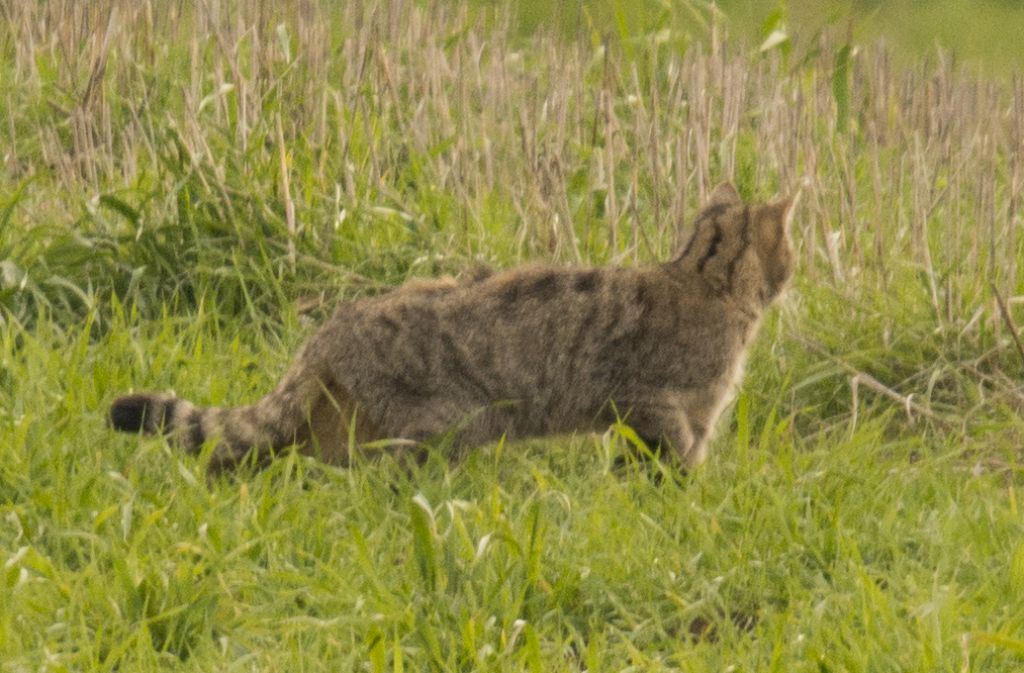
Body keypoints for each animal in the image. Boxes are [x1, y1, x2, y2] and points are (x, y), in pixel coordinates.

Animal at [112, 181, 798, 469]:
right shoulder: (650, 403)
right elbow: (673, 462)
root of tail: (327, 330)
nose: (797, 269)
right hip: (444, 423)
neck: (704, 281)